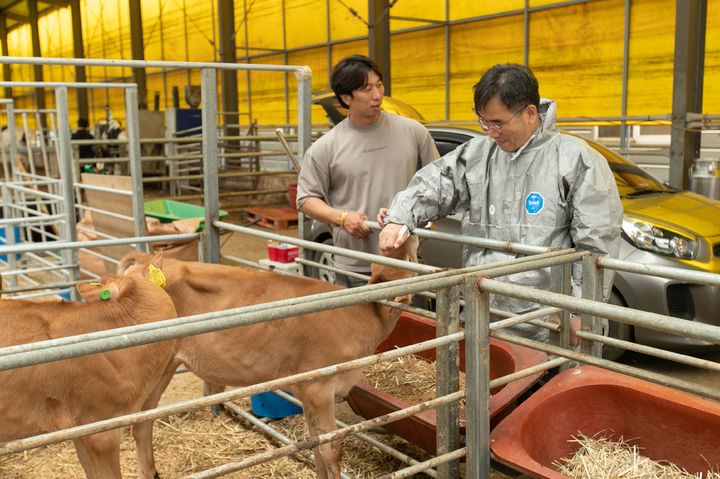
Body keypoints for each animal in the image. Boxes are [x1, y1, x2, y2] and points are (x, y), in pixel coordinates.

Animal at [121, 239, 420, 479]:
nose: (411, 236)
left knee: (142, 424)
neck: (363, 314)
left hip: (163, 368)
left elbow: (315, 445)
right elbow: (332, 448)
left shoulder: (307, 392)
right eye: (410, 260)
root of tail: (145, 264)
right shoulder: (320, 388)